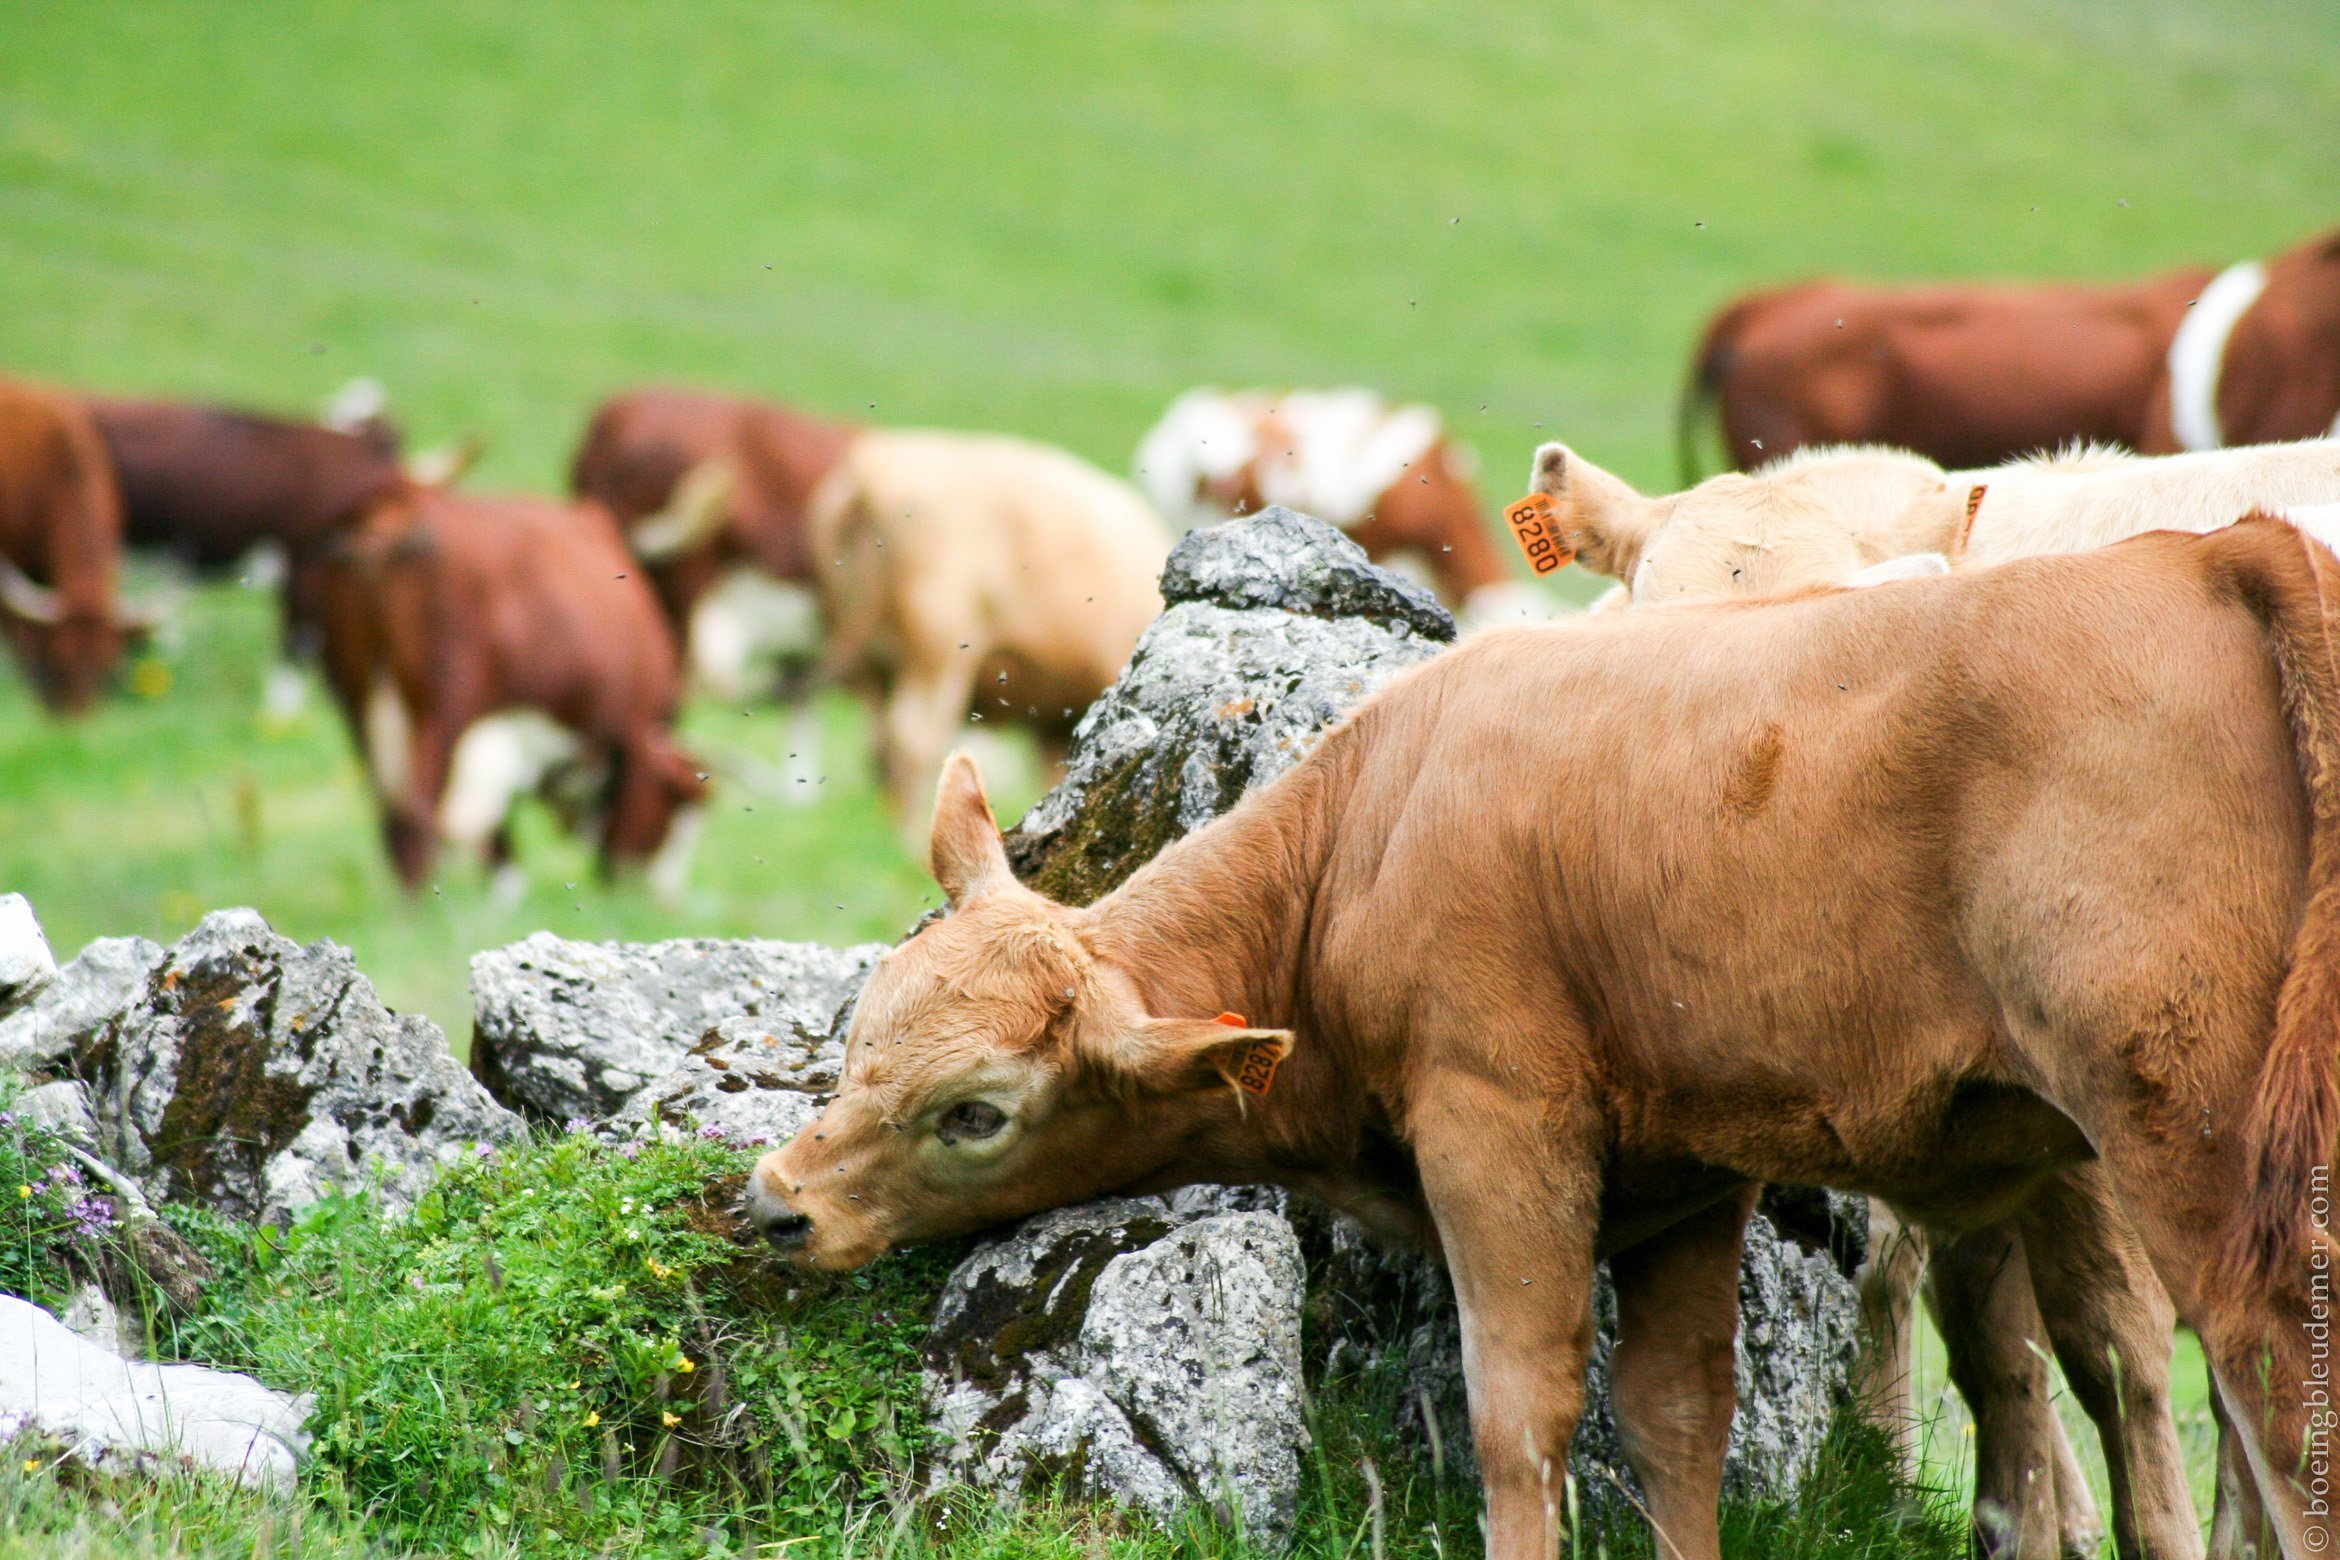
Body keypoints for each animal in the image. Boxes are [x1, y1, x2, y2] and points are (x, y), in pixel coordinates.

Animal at [311, 486, 707, 899]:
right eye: (675, 814)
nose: (663, 898)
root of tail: (401, 509)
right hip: (447, 704)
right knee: (418, 811)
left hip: (361, 698)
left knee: (392, 810)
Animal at [749, 516, 2340, 1559]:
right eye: (860, 1036)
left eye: (976, 1111)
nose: (774, 1204)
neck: (1367, 832)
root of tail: (2210, 547)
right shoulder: (1692, 1179)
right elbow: (1675, 1423)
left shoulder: (1496, 1125)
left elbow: (1521, 1412)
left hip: (2193, 1149)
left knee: (2265, 1392)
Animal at [806, 429, 1169, 844]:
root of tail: (869, 476)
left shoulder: (1052, 722)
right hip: (937, 652)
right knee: (910, 741)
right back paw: (912, 843)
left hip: (873, 666)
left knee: (879, 749)